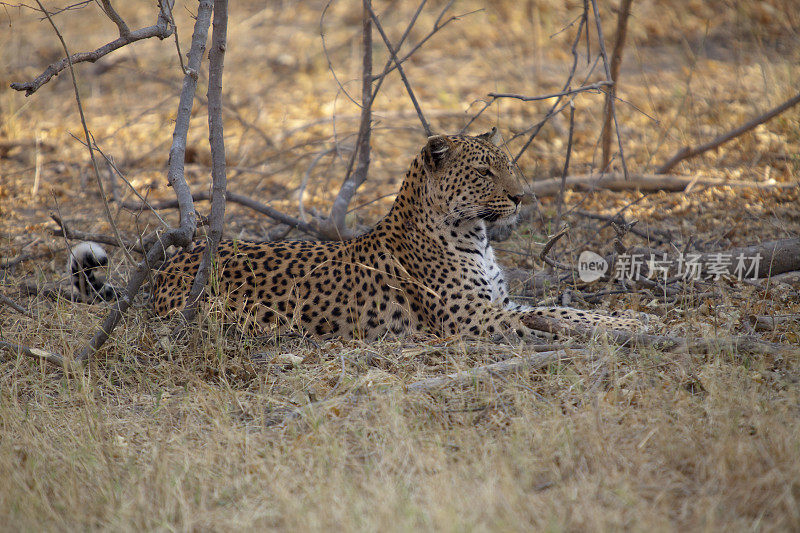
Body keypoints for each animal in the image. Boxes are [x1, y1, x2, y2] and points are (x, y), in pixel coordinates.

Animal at [147, 129, 648, 340]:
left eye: (510, 165)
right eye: (484, 171)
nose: (522, 196)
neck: (476, 237)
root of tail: (171, 264)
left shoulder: (499, 302)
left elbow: (561, 310)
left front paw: (631, 321)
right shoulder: (471, 317)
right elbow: (547, 318)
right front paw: (633, 328)